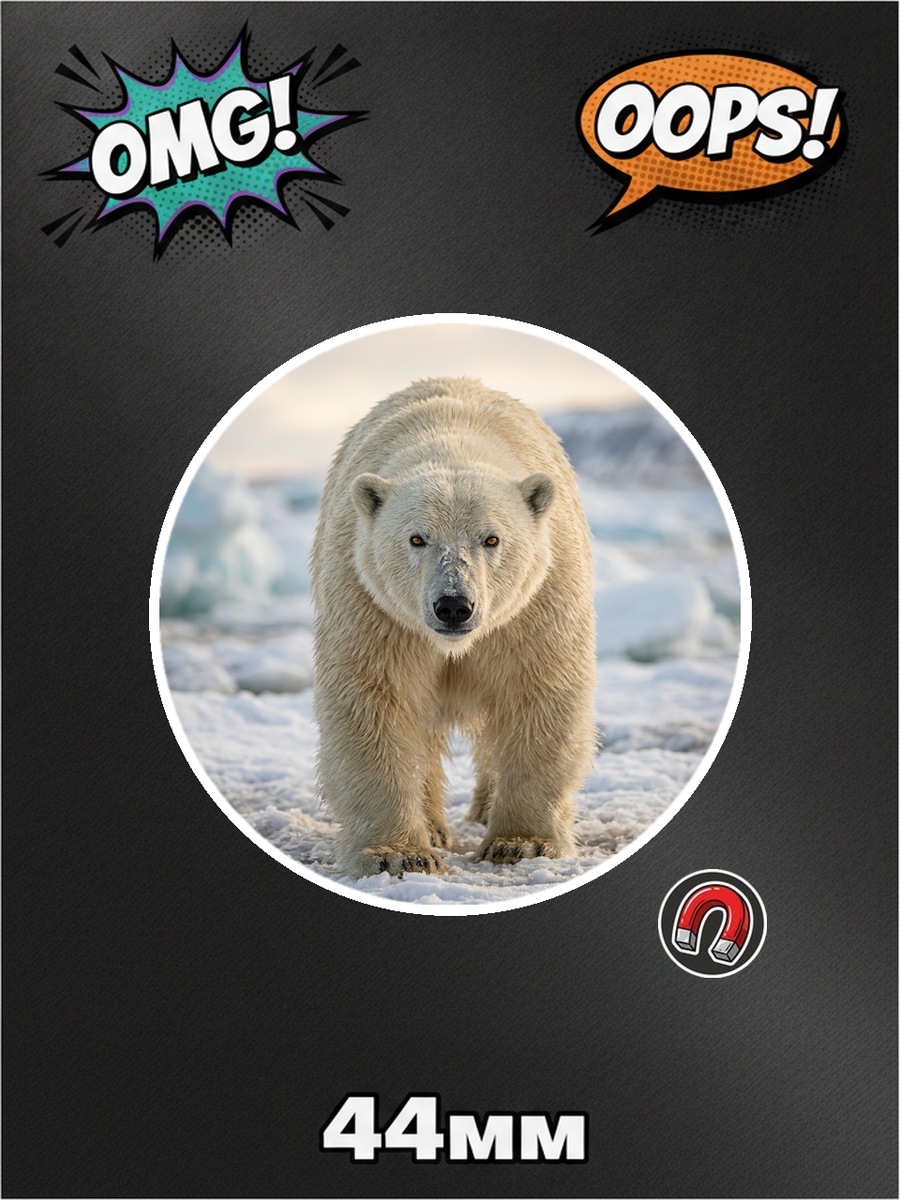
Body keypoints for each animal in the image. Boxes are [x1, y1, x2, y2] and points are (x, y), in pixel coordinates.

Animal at [311, 378, 596, 877]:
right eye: (417, 538)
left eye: (492, 538)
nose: (453, 606)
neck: (452, 438)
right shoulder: (372, 604)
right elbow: (373, 700)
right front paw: (398, 853)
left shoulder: (537, 601)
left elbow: (539, 692)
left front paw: (522, 843)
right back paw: (434, 827)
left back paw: (482, 808)